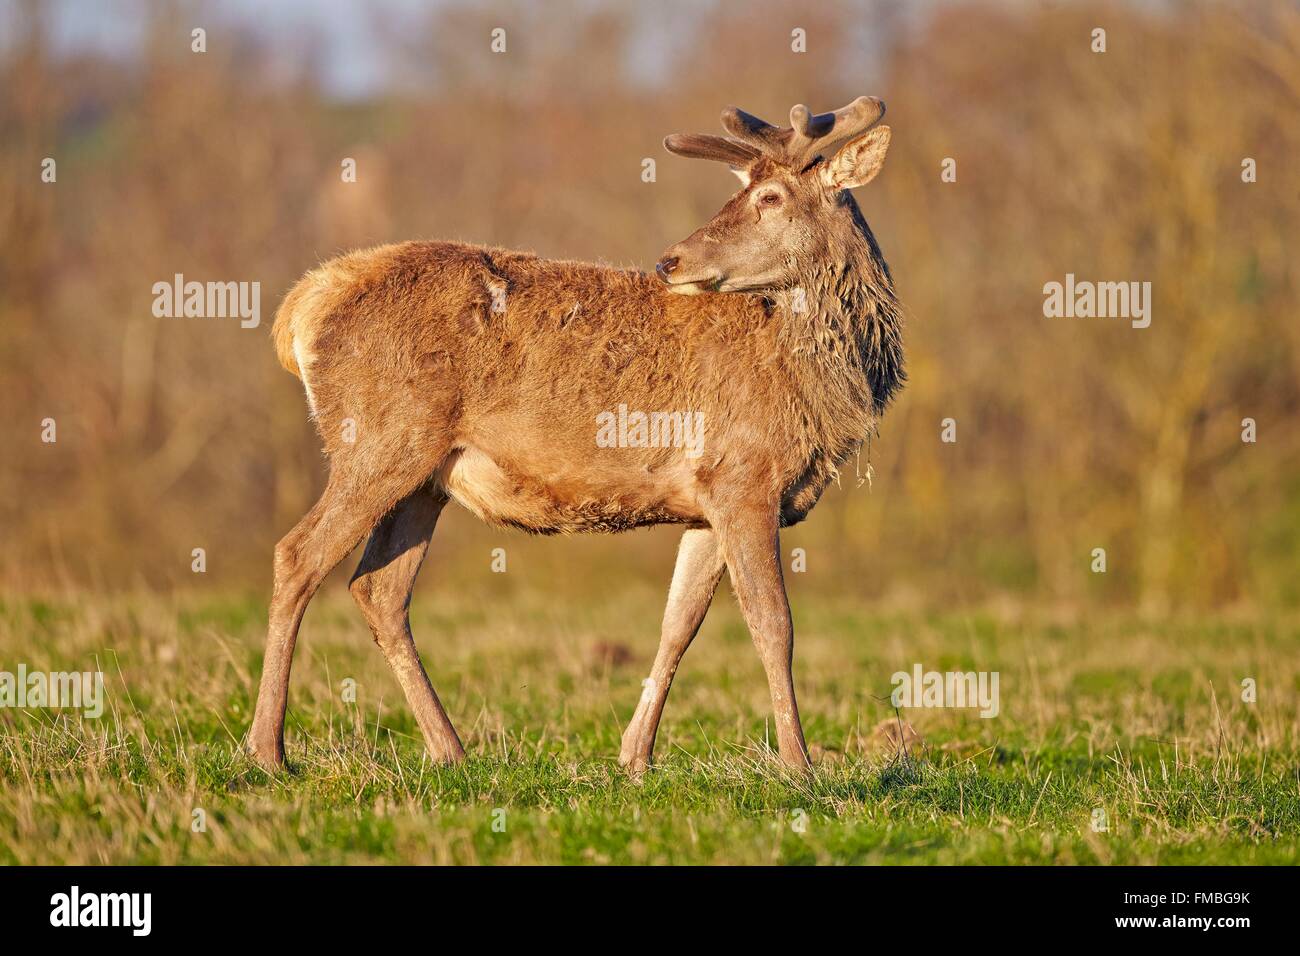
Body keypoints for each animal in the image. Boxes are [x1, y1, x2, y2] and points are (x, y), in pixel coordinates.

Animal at [247, 95, 904, 775]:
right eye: (744, 190)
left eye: (771, 196)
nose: (671, 260)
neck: (819, 391)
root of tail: (301, 307)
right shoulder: (744, 475)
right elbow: (773, 622)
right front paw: (799, 765)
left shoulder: (707, 499)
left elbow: (680, 621)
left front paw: (634, 757)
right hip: (378, 441)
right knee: (297, 556)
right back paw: (268, 750)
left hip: (425, 477)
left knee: (378, 589)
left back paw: (450, 749)